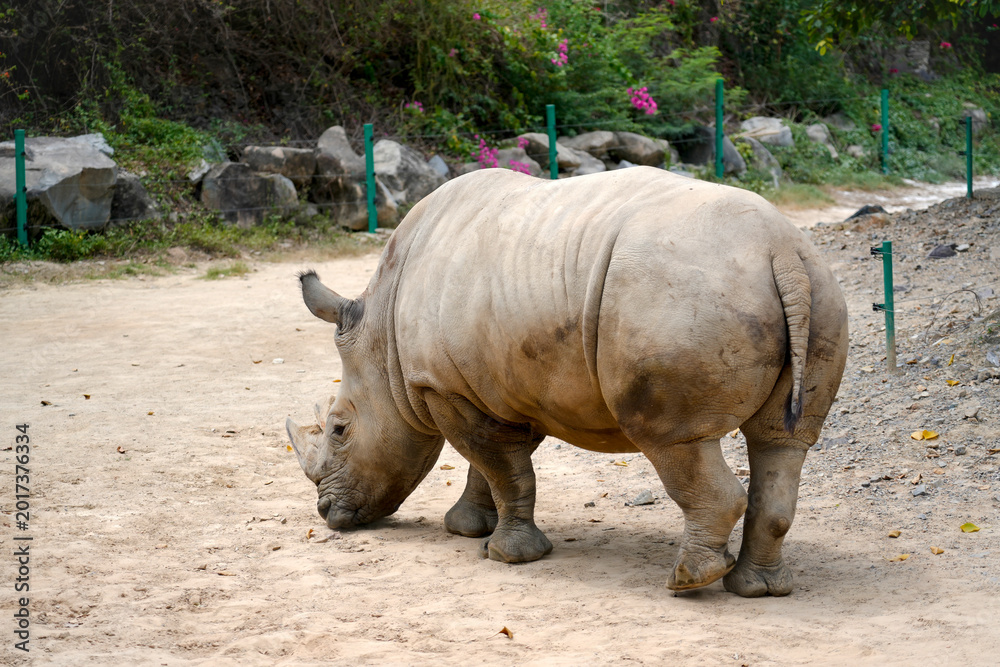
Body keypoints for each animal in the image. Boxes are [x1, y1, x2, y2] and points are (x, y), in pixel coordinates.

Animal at [287, 167, 848, 597]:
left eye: (338, 430)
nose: (326, 512)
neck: (382, 341)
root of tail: (781, 252)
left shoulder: (444, 388)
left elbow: (501, 467)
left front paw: (506, 555)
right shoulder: (506, 389)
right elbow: (492, 466)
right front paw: (468, 528)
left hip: (679, 298)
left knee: (675, 439)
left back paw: (687, 582)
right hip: (820, 289)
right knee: (782, 441)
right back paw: (759, 589)